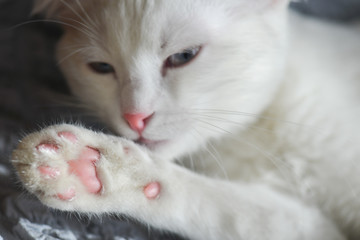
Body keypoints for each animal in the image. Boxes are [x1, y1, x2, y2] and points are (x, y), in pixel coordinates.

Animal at [11, 0, 360, 239]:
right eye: (101, 68)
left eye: (183, 56)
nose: (135, 116)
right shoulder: (306, 225)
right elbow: (230, 211)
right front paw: (88, 169)